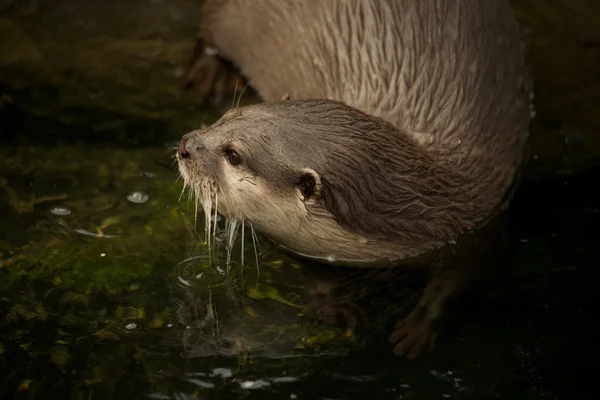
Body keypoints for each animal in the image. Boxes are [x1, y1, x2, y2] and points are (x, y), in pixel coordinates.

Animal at [177, 0, 528, 356]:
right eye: (228, 116)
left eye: (234, 154)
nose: (185, 146)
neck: (427, 207)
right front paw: (334, 303)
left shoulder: (479, 229)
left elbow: (459, 283)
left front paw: (419, 327)